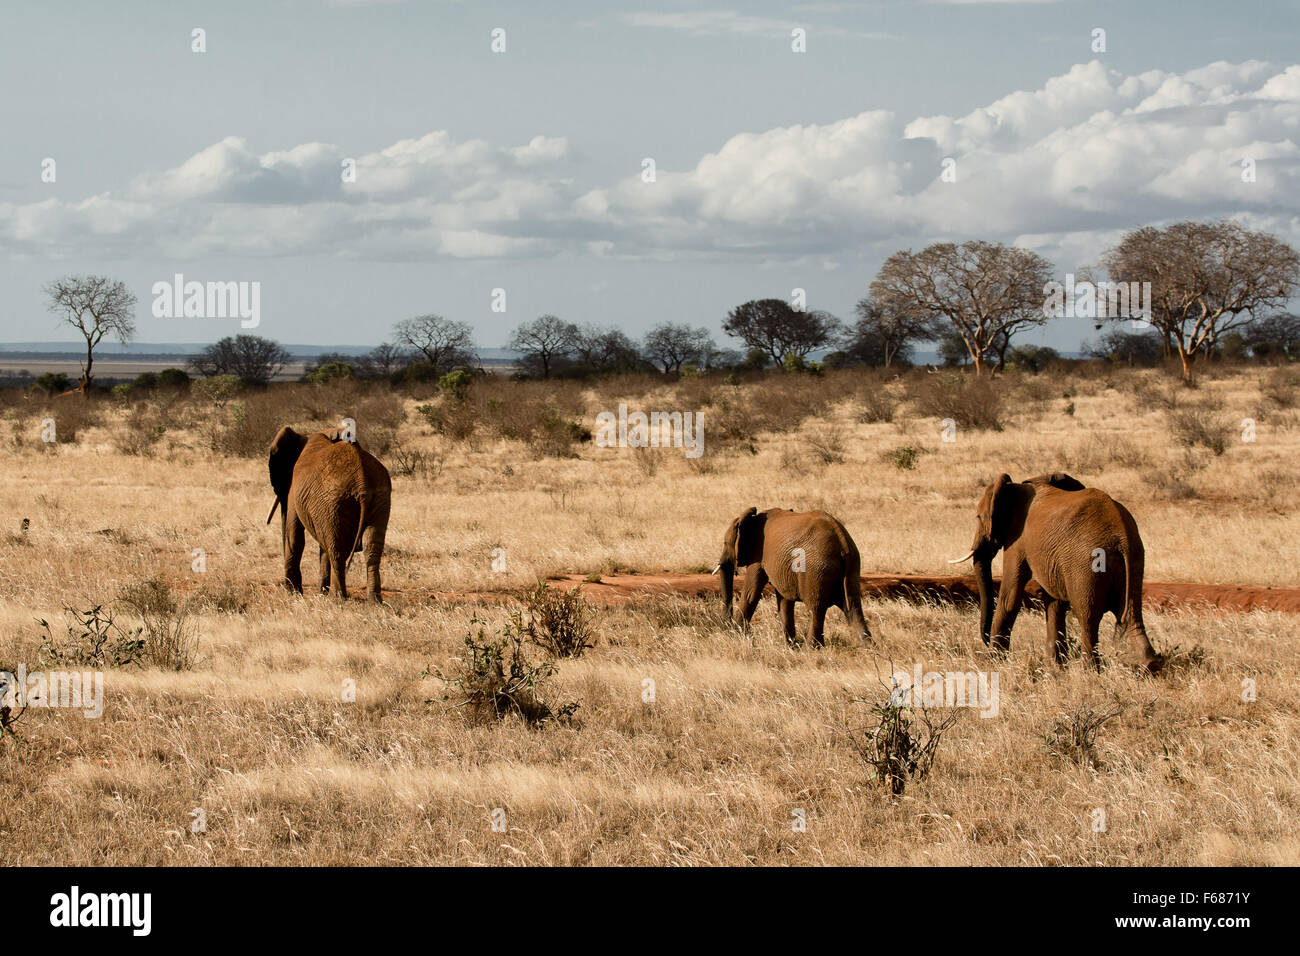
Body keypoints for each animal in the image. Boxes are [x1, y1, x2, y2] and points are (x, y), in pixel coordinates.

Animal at [261, 424, 387, 600]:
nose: (286, 586)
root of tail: (362, 480)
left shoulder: (295, 491)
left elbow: (294, 535)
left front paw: (294, 594)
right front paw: (321, 593)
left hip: (333, 500)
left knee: (336, 549)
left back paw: (337, 598)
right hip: (377, 497)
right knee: (371, 549)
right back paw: (373, 601)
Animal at [712, 504, 873, 647]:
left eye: (725, 543)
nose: (725, 625)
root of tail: (842, 541)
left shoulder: (758, 554)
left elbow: (751, 593)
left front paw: (736, 636)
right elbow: (784, 600)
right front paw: (790, 646)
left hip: (817, 569)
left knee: (817, 608)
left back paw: (811, 648)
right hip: (852, 565)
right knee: (853, 606)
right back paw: (867, 647)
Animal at [946, 473, 1170, 671]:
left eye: (978, 517)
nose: (984, 640)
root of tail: (1122, 536)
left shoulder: (1018, 541)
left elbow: (1010, 597)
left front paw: (994, 662)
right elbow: (1054, 601)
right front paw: (1056, 666)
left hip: (1086, 567)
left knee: (1088, 617)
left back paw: (1089, 671)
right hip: (1135, 560)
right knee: (1132, 613)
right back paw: (1151, 666)